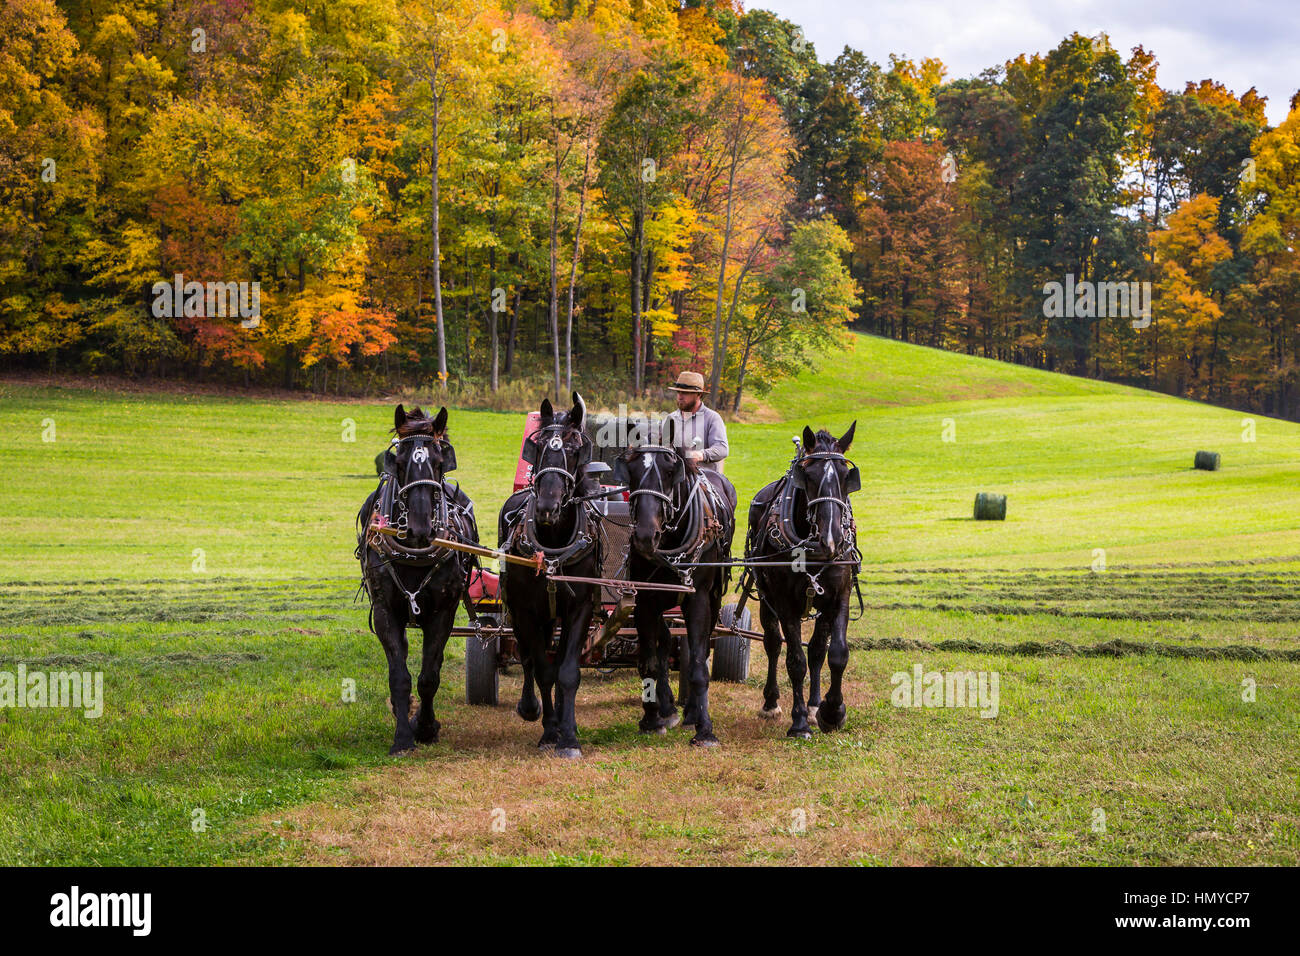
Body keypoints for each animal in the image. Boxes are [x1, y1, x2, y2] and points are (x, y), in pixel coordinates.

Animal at [356, 404, 478, 754]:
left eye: (438, 462)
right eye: (398, 462)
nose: (420, 527)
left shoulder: (443, 613)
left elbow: (429, 676)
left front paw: (425, 727)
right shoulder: (385, 611)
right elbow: (399, 676)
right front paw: (402, 735)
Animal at [498, 393, 602, 759]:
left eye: (573, 448)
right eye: (540, 446)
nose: (546, 507)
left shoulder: (580, 608)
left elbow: (567, 672)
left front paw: (569, 737)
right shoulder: (526, 610)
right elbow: (542, 669)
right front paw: (550, 731)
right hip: (520, 611)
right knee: (529, 656)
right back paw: (532, 708)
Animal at [615, 417, 737, 747]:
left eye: (671, 471)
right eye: (631, 470)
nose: (646, 536)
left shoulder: (697, 599)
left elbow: (696, 663)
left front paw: (704, 728)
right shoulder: (645, 600)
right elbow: (650, 659)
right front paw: (651, 718)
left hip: (713, 598)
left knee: (700, 649)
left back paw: (692, 711)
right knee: (666, 640)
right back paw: (668, 707)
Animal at [743, 423, 859, 738]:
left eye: (845, 475)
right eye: (808, 474)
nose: (832, 538)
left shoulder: (839, 597)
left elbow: (835, 653)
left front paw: (832, 711)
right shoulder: (785, 603)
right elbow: (795, 661)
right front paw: (799, 723)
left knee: (817, 651)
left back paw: (815, 703)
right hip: (765, 597)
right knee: (773, 643)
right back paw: (771, 702)